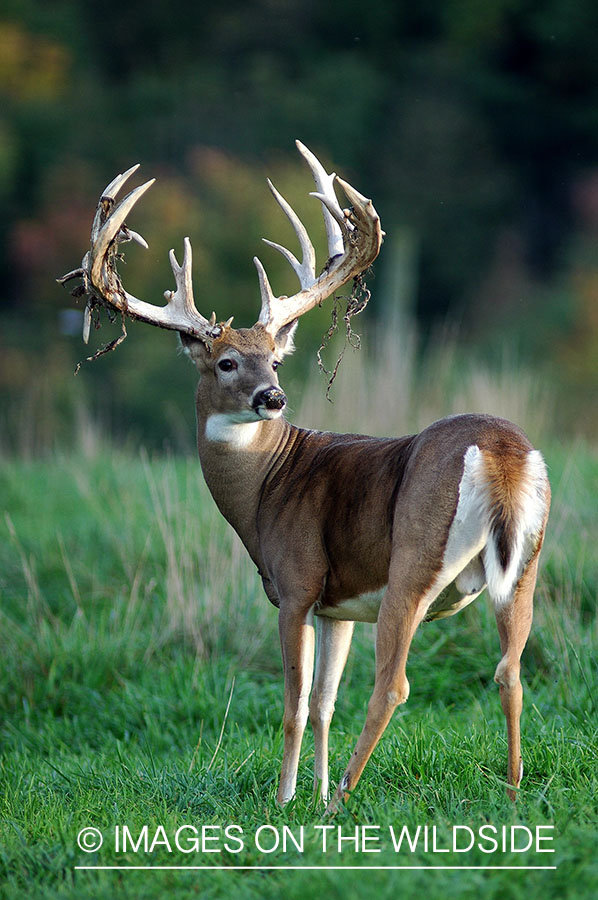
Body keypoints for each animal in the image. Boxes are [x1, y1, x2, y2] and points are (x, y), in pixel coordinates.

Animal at [61, 142, 552, 816]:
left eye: (274, 358)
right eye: (227, 361)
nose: (273, 396)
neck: (265, 487)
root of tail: (502, 454)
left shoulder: (295, 584)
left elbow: (294, 705)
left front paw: (288, 799)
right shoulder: (336, 606)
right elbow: (323, 703)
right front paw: (311, 798)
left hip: (414, 559)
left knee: (394, 684)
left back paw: (348, 792)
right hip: (525, 564)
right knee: (510, 670)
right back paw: (510, 789)